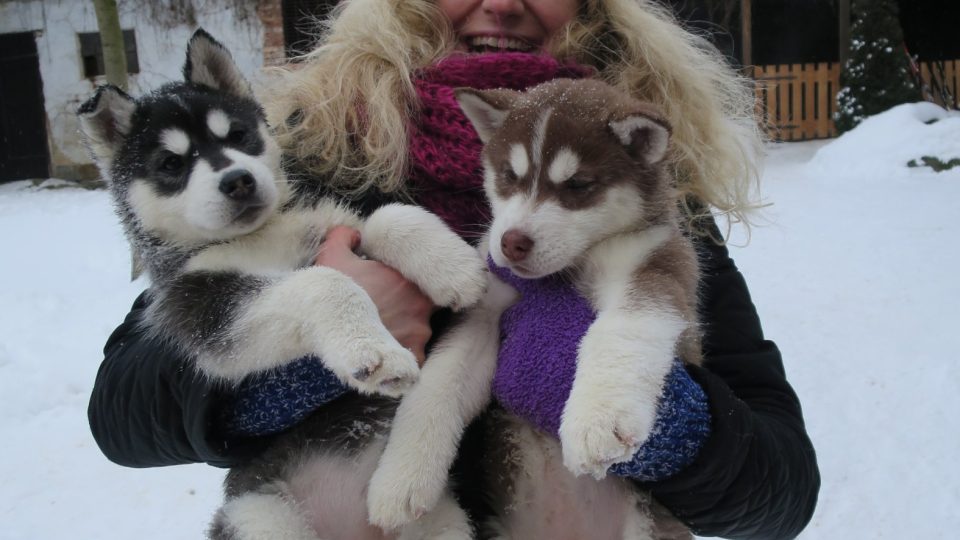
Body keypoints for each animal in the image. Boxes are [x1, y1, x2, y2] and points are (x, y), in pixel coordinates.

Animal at [79, 30, 488, 540]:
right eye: (171, 164)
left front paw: (454, 266)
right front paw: (375, 352)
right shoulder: (207, 307)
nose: (237, 180)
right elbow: (323, 281)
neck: (258, 237)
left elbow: (387, 216)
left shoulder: (332, 227)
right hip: (257, 516)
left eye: (237, 135)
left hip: (442, 519)